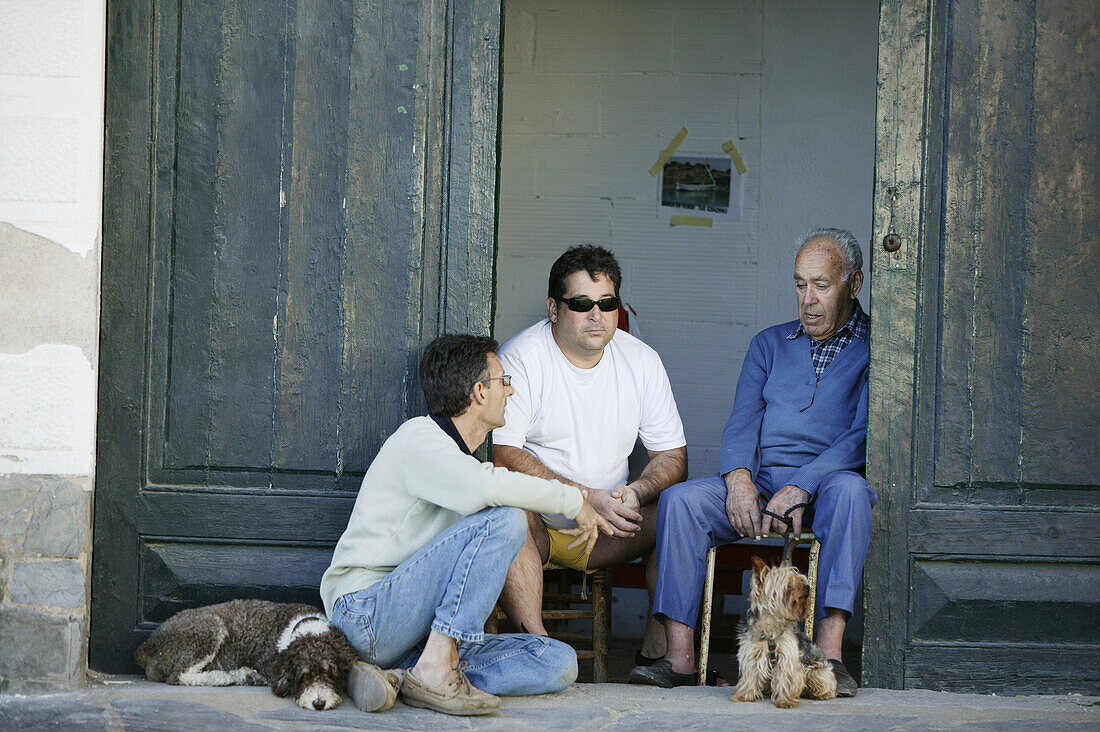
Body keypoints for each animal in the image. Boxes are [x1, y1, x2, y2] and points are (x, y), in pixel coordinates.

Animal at [132, 598, 356, 708]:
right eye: (303, 677)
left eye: (331, 674)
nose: (319, 703)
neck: (308, 627)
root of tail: (146, 644)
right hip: (209, 628)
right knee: (178, 675)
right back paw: (225, 677)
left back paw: (245, 675)